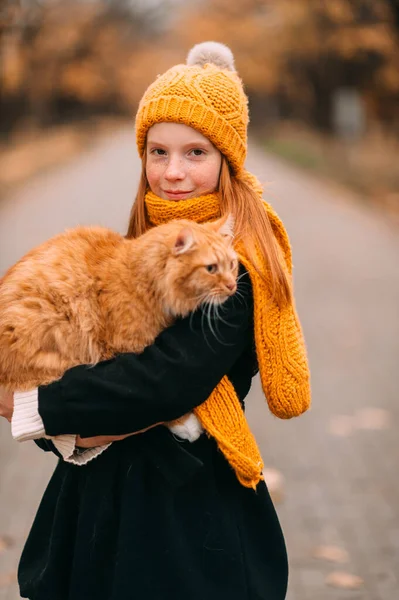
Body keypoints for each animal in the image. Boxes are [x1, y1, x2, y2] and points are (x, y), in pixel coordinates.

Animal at [0, 217, 238, 440]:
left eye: (232, 264)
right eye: (211, 268)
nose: (233, 286)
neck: (141, 279)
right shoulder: (126, 349)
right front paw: (184, 423)